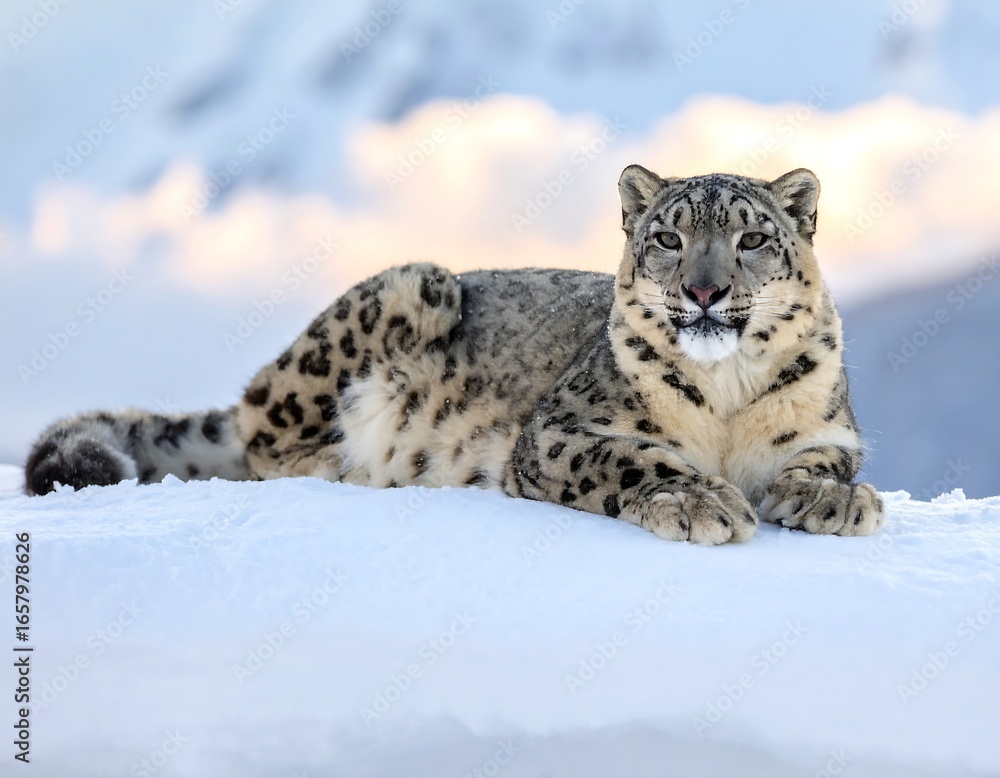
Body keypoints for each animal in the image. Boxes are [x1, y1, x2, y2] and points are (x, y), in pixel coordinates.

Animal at [24, 165, 884, 545]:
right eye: (668, 238)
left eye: (752, 237)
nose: (704, 290)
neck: (728, 396)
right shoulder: (559, 433)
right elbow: (631, 460)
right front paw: (699, 502)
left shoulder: (831, 429)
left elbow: (827, 462)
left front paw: (832, 501)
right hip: (415, 285)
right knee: (264, 434)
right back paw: (349, 463)